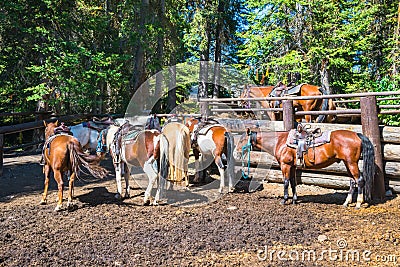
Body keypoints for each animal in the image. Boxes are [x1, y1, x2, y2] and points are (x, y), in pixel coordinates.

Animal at [234, 128, 376, 209]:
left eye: (241, 140)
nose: (235, 154)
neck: (280, 141)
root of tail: (357, 135)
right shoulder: (292, 166)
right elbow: (293, 182)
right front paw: (294, 200)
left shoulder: (285, 165)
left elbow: (286, 182)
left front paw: (284, 200)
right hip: (347, 163)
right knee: (352, 182)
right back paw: (346, 203)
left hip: (352, 163)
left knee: (360, 180)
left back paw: (358, 204)